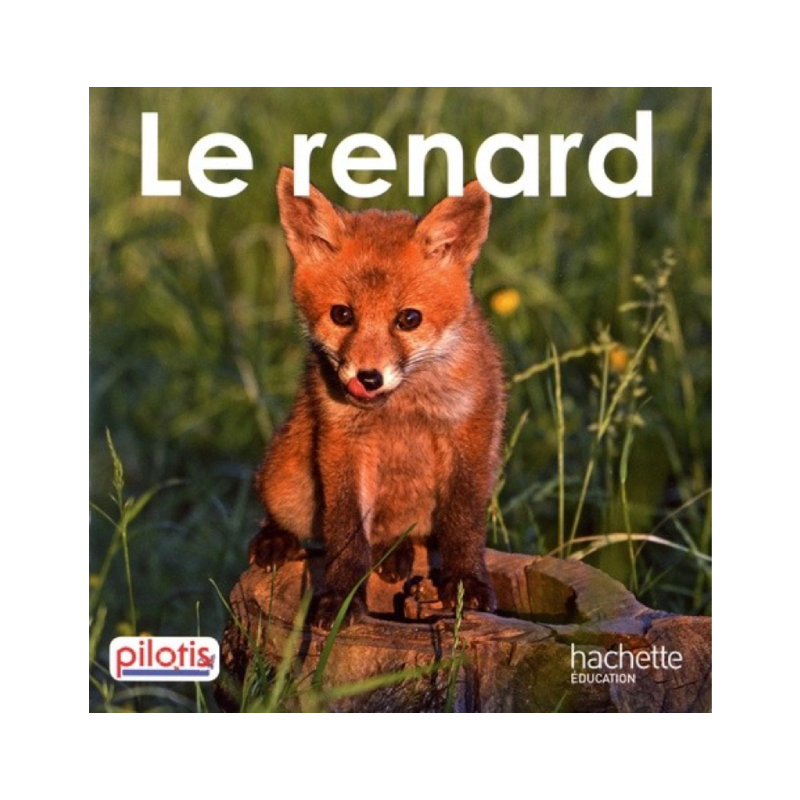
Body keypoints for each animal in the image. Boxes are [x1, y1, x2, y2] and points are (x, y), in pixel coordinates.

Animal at [249, 166, 506, 628]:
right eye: (342, 314)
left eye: (409, 319)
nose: (367, 378)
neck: (402, 408)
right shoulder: (343, 441)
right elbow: (347, 534)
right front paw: (340, 598)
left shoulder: (468, 432)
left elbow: (463, 522)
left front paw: (466, 584)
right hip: (288, 478)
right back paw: (276, 537)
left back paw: (396, 551)